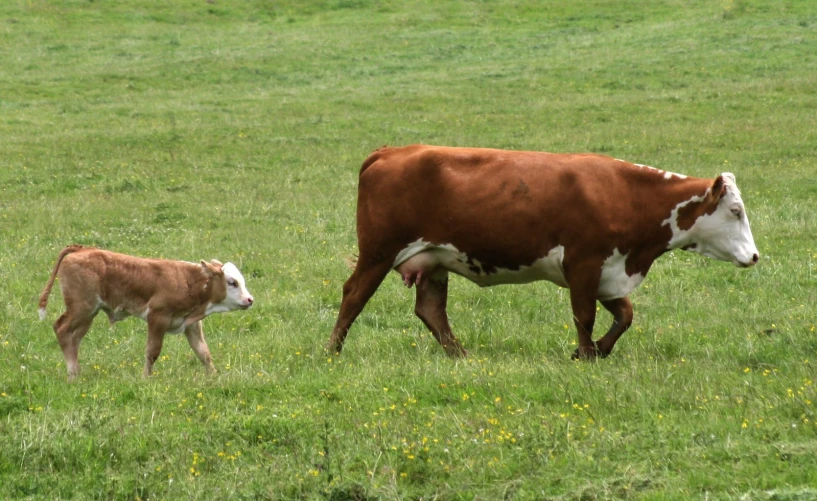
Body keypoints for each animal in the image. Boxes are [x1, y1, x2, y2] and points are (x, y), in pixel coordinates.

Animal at [38, 243, 253, 378]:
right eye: (232, 282)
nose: (250, 300)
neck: (188, 281)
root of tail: (83, 249)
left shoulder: (191, 324)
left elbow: (203, 352)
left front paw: (214, 377)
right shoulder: (158, 318)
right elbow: (152, 352)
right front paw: (145, 378)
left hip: (88, 314)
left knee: (74, 338)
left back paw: (76, 372)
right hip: (81, 308)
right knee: (61, 329)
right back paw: (72, 372)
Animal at [326, 145, 760, 360]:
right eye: (736, 211)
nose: (755, 257)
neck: (628, 196)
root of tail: (391, 151)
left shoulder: (609, 271)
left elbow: (625, 315)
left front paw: (597, 351)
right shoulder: (583, 264)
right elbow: (584, 316)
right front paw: (585, 353)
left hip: (433, 259)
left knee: (431, 310)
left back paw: (460, 355)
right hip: (378, 252)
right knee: (354, 296)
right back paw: (332, 351)